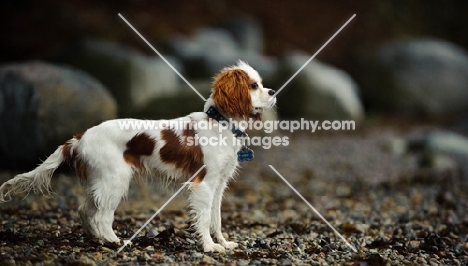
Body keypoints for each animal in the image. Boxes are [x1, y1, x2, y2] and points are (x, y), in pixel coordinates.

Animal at [0, 60, 276, 254]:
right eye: (254, 86)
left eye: (261, 83)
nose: (273, 91)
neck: (220, 123)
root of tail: (79, 137)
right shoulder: (203, 185)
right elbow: (205, 218)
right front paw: (209, 247)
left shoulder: (218, 185)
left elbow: (216, 218)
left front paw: (224, 243)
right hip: (116, 180)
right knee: (101, 215)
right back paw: (114, 241)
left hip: (102, 181)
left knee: (85, 210)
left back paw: (99, 240)